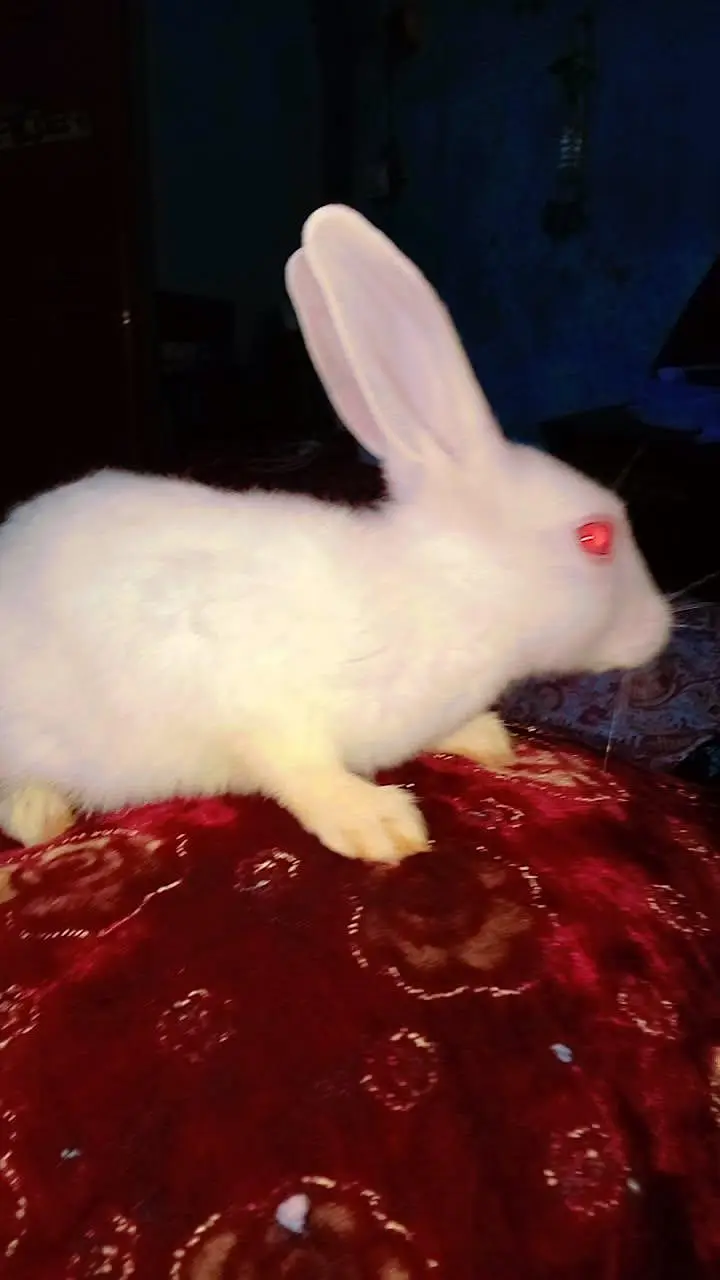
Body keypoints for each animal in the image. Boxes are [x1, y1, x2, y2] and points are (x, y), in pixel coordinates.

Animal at [0, 205, 671, 861]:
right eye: (594, 538)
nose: (662, 628)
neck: (448, 594)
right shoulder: (259, 703)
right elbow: (300, 770)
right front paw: (379, 824)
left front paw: (483, 736)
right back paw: (40, 813)